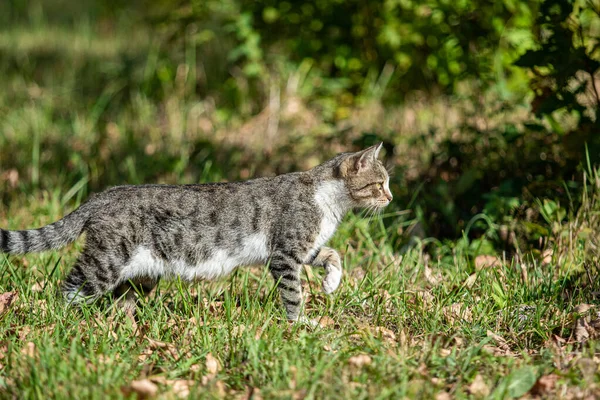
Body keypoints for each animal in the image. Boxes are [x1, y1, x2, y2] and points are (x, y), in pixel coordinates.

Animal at [0, 143, 392, 318]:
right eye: (379, 184)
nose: (390, 197)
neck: (329, 203)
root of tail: (104, 194)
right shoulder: (285, 254)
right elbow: (293, 294)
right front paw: (299, 325)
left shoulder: (303, 249)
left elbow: (332, 254)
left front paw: (331, 283)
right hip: (106, 261)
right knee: (69, 288)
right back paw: (62, 321)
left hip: (141, 273)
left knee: (118, 302)